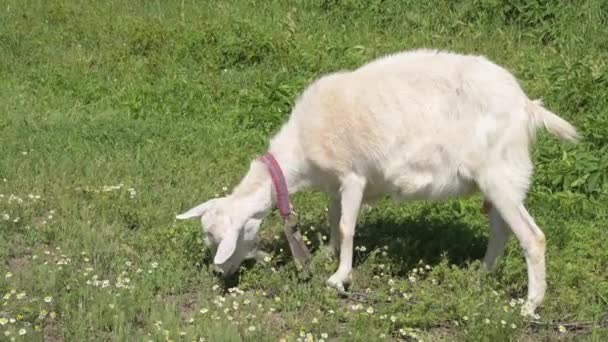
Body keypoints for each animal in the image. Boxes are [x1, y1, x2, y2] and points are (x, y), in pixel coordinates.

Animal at [177, 48, 580, 316]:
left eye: (220, 239)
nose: (219, 272)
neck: (302, 151)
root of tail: (527, 107)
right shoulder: (335, 184)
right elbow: (334, 222)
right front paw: (324, 257)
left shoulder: (353, 175)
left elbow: (347, 227)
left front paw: (339, 278)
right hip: (495, 181)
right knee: (500, 229)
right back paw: (481, 276)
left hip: (500, 174)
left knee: (533, 237)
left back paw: (529, 304)